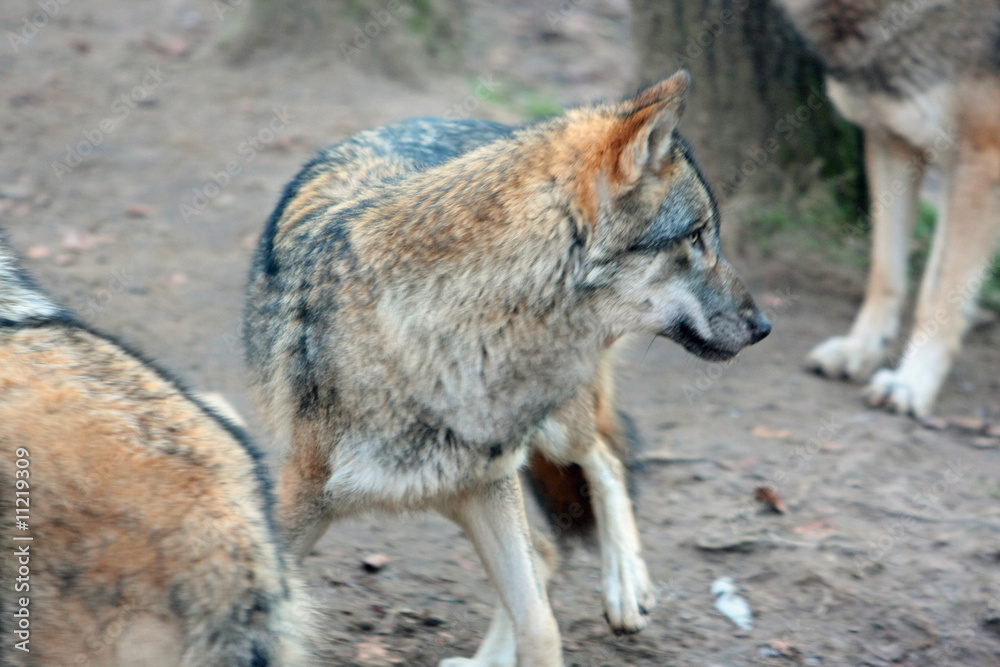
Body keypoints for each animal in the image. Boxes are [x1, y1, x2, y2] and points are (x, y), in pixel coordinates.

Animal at [244, 71, 771, 666]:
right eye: (697, 237)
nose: (764, 325)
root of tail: (484, 122)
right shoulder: (304, 497)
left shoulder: (491, 483)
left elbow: (540, 624)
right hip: (459, 489)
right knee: (552, 540)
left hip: (549, 437)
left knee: (604, 462)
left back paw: (625, 586)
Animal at [776, 0, 1000, 418]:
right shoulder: (892, 141)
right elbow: (886, 272)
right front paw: (860, 350)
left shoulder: (979, 158)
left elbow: (939, 292)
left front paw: (911, 382)